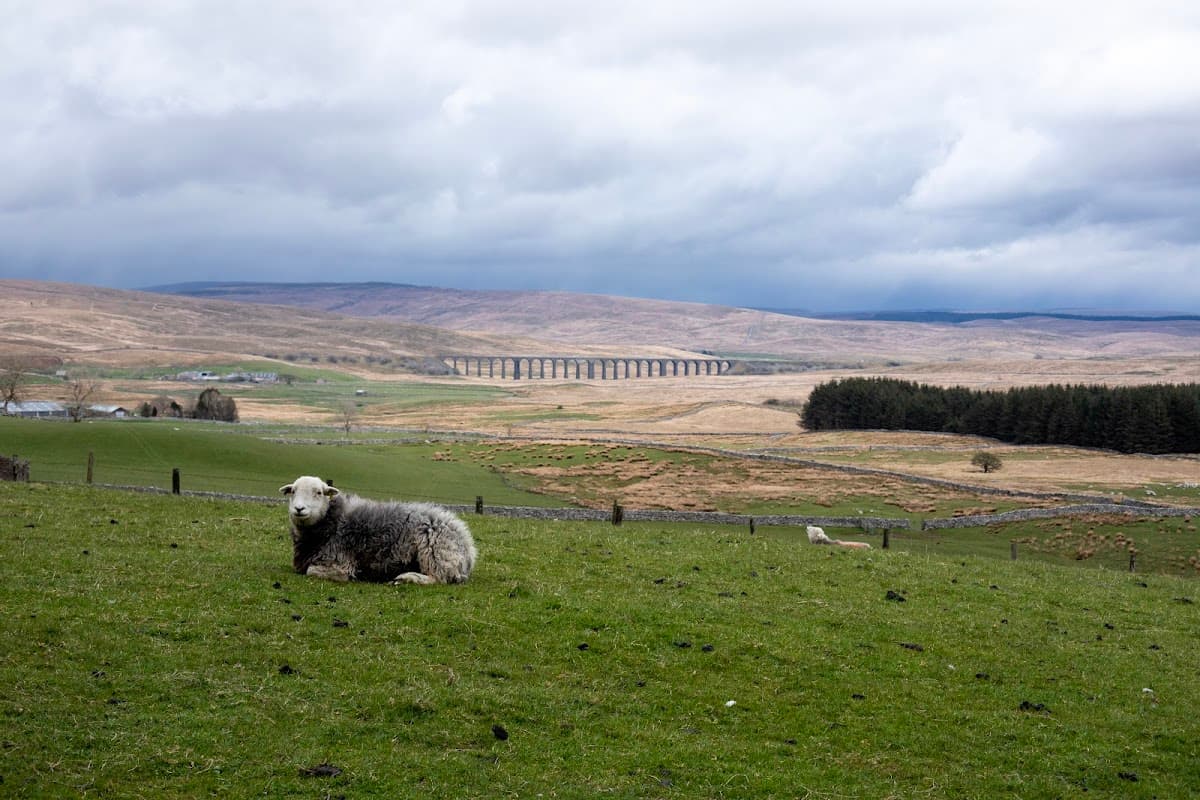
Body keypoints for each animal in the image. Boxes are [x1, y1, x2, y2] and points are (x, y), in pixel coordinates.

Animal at [280, 476, 477, 585]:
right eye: (293, 491)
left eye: (319, 493)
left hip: (434, 551)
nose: (299, 509)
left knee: (438, 578)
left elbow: (311, 571)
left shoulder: (339, 560)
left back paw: (406, 578)